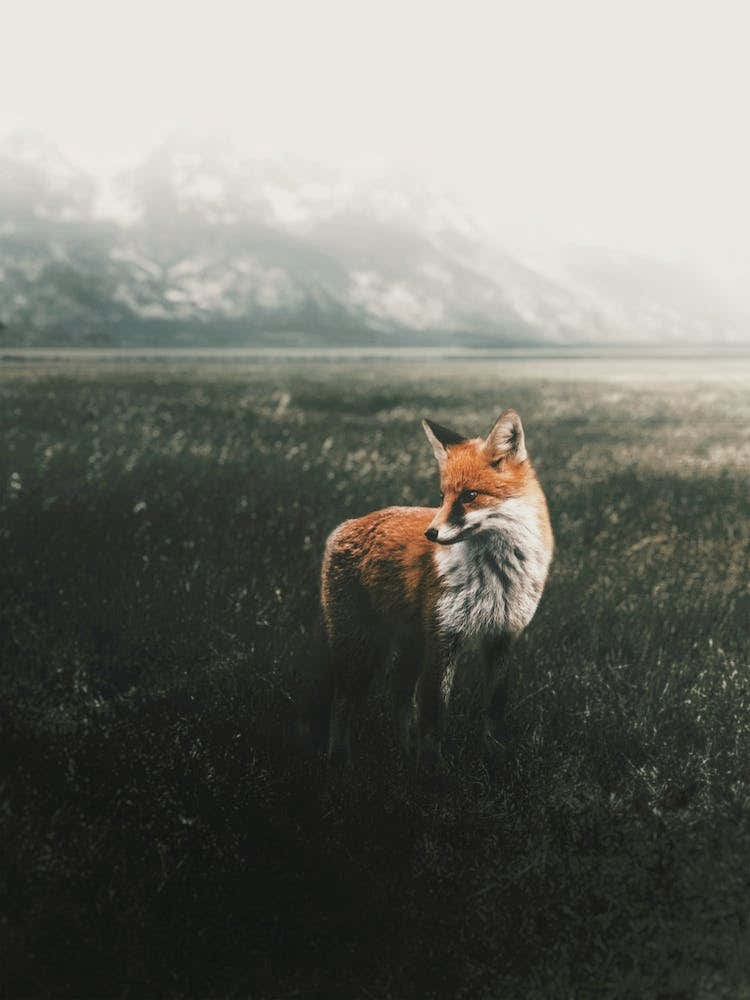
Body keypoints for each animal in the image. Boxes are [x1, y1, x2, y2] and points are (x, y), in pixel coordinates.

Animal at [320, 409, 553, 769]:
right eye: (443, 497)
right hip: (360, 647)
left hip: (409, 645)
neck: (495, 574)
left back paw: (406, 752)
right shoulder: (444, 637)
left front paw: (494, 756)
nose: (430, 533)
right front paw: (432, 771)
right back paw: (340, 760)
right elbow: (433, 713)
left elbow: (494, 708)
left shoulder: (503, 635)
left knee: (399, 695)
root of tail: (346, 525)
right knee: (342, 701)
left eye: (470, 496)